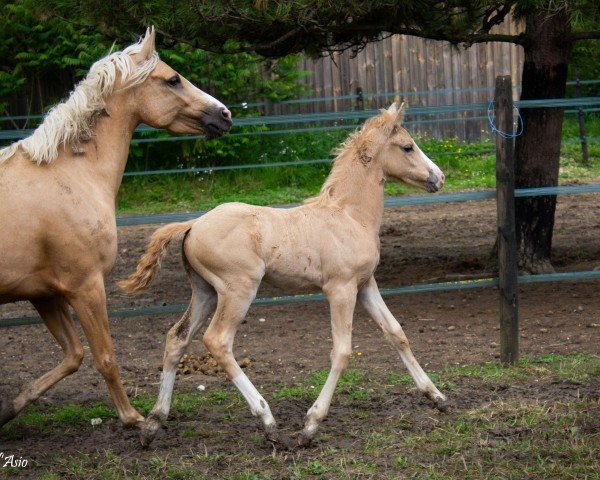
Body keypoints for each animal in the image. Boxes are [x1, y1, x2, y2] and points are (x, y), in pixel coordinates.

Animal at [0, 28, 232, 430]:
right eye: (173, 79)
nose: (225, 114)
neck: (68, 173)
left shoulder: (44, 294)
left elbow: (73, 355)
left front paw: (8, 409)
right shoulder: (86, 287)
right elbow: (105, 357)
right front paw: (133, 419)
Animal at [120, 102, 446, 446]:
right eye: (408, 147)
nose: (439, 177)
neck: (348, 216)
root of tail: (193, 223)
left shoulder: (365, 283)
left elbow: (396, 333)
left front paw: (436, 396)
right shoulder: (341, 289)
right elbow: (342, 351)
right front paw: (311, 424)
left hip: (205, 291)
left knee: (177, 338)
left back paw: (153, 423)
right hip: (238, 290)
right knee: (217, 340)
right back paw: (266, 419)